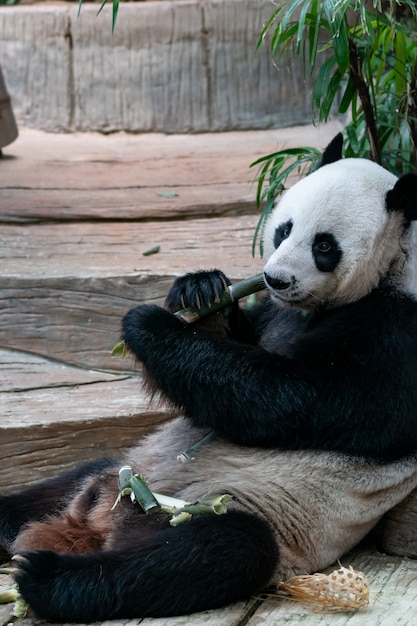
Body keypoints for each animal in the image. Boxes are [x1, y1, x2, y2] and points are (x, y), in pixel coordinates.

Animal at [1, 135, 416, 620]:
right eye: (284, 229)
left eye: (325, 246)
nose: (276, 278)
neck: (390, 267)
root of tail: (98, 524)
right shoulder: (274, 313)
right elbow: (240, 347)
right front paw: (199, 290)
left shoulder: (395, 338)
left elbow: (292, 397)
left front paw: (149, 326)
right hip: (120, 467)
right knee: (55, 488)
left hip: (227, 512)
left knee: (206, 553)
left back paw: (44, 577)